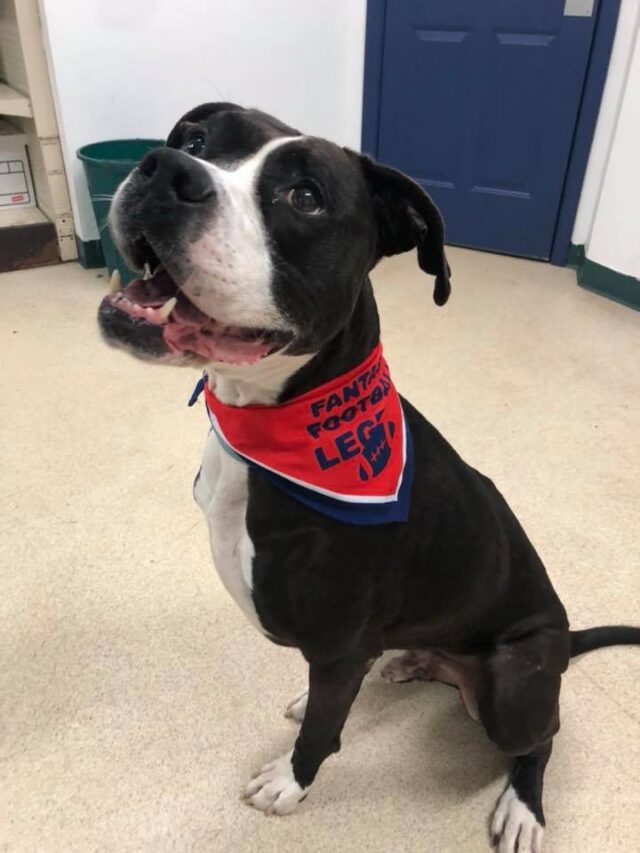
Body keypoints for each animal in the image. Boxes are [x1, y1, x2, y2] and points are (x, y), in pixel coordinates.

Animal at [96, 105, 640, 852]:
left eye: (304, 197)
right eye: (197, 140)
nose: (164, 169)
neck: (267, 425)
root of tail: (561, 641)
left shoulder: (341, 645)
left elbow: (325, 728)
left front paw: (290, 782)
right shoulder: (341, 652)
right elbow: (329, 697)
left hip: (516, 685)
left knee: (541, 737)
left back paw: (523, 807)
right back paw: (412, 662)